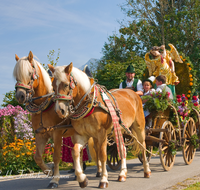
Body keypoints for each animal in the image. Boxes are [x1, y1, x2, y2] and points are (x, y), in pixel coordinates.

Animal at [12, 52, 96, 189]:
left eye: (29, 73)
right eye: (15, 75)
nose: (20, 96)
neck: (45, 106)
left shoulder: (57, 133)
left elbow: (56, 157)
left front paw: (54, 179)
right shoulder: (40, 134)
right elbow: (37, 157)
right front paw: (49, 171)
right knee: (78, 150)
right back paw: (79, 174)